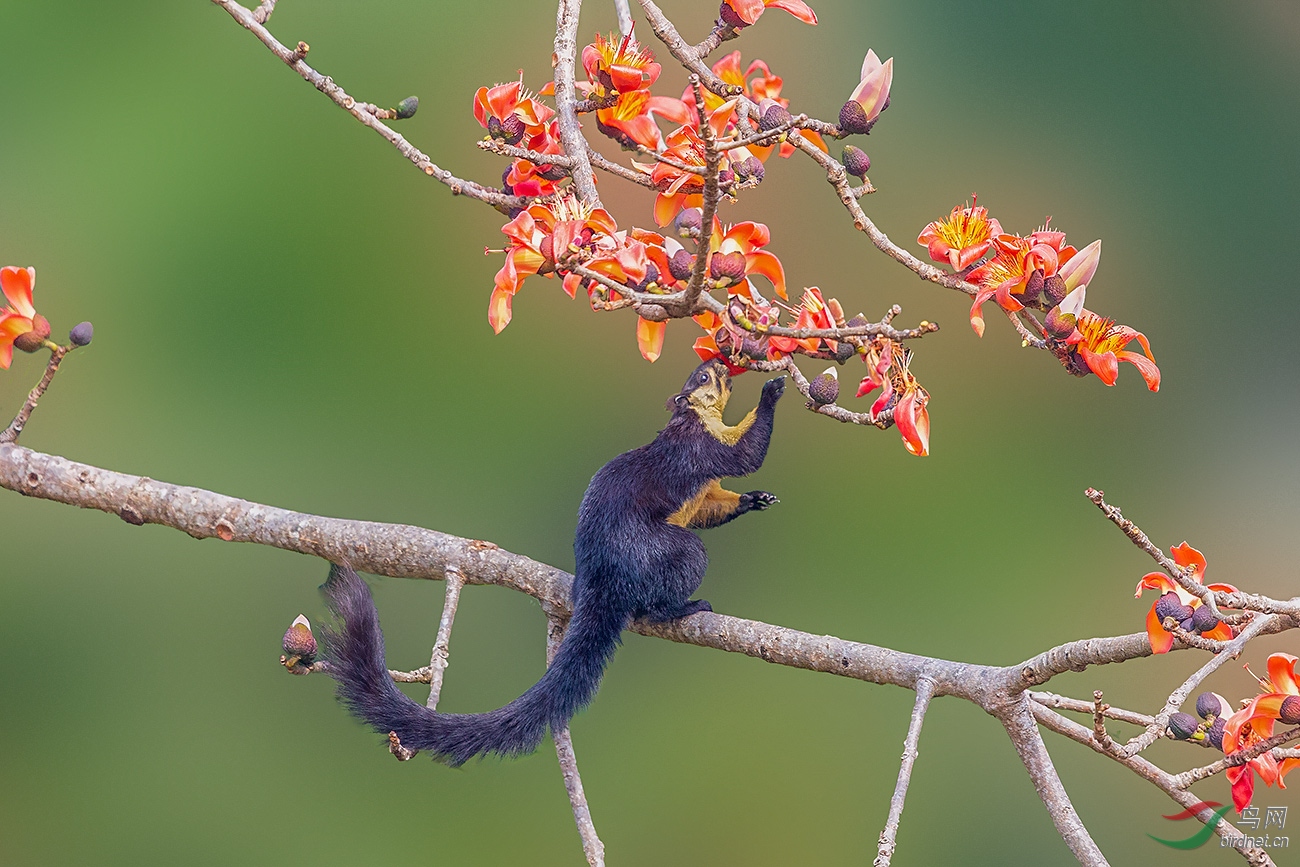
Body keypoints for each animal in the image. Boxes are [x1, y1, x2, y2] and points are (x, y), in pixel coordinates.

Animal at [317, 358, 780, 764]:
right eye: (702, 376)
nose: (721, 362)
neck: (695, 420)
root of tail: (602, 579)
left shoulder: (707, 487)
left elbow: (716, 506)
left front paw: (756, 498)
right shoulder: (701, 448)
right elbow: (745, 454)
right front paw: (772, 390)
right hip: (672, 551)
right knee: (661, 594)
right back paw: (686, 607)